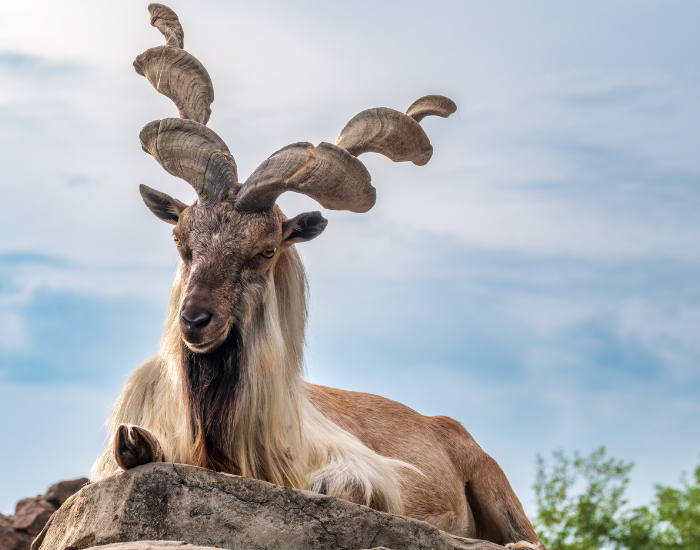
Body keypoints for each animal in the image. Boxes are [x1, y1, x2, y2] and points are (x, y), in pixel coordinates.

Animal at [91, 5, 546, 549]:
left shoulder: (362, 470)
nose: (195, 321)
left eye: (266, 251)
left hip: (492, 481)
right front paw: (138, 444)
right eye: (182, 241)